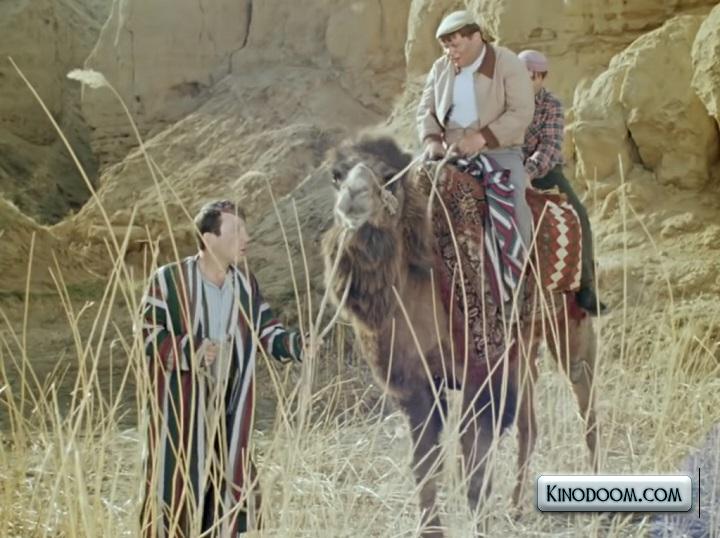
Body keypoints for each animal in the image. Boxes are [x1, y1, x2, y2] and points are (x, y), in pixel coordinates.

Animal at [320, 135, 598, 537]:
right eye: (336, 175)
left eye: (390, 177)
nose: (354, 197)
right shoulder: (414, 382)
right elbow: (424, 463)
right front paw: (431, 528)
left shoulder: (480, 370)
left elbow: (474, 464)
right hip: (524, 344)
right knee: (530, 422)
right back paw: (516, 507)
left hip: (569, 320)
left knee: (584, 393)